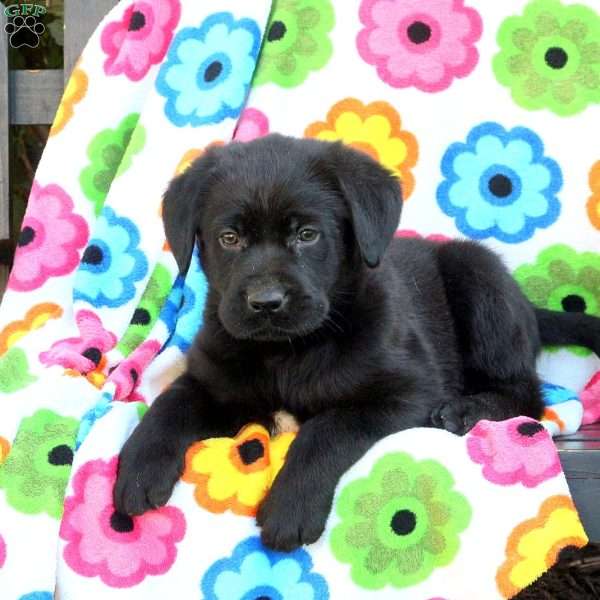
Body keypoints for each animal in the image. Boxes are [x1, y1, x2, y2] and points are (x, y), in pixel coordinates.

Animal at [115, 134, 600, 552]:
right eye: (229, 238)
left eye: (307, 235)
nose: (265, 302)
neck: (286, 352)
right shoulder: (211, 381)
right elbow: (168, 406)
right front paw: (137, 470)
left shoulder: (409, 391)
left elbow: (328, 428)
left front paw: (291, 505)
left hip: (478, 275)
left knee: (525, 393)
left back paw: (466, 409)